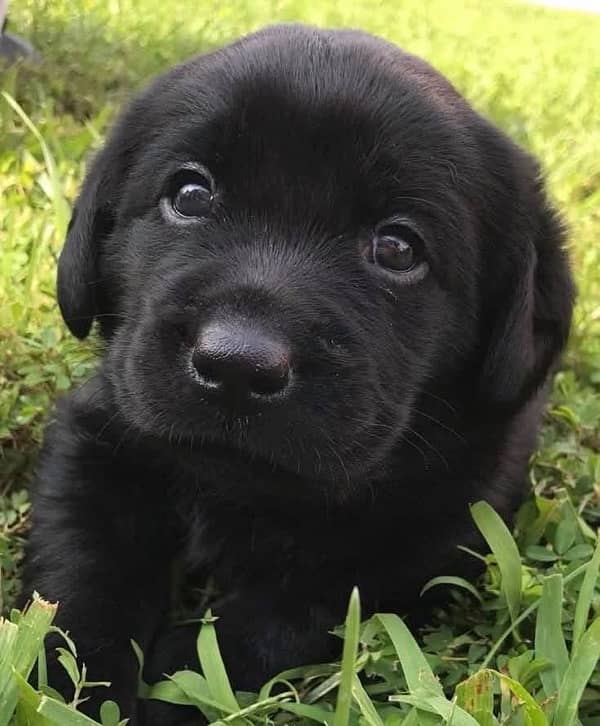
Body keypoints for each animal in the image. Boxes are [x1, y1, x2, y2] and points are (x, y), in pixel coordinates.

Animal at [21, 22, 576, 726]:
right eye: (189, 194)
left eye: (399, 248)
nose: (236, 365)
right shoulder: (96, 437)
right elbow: (79, 575)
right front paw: (73, 692)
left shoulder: (442, 527)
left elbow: (294, 610)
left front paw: (180, 685)